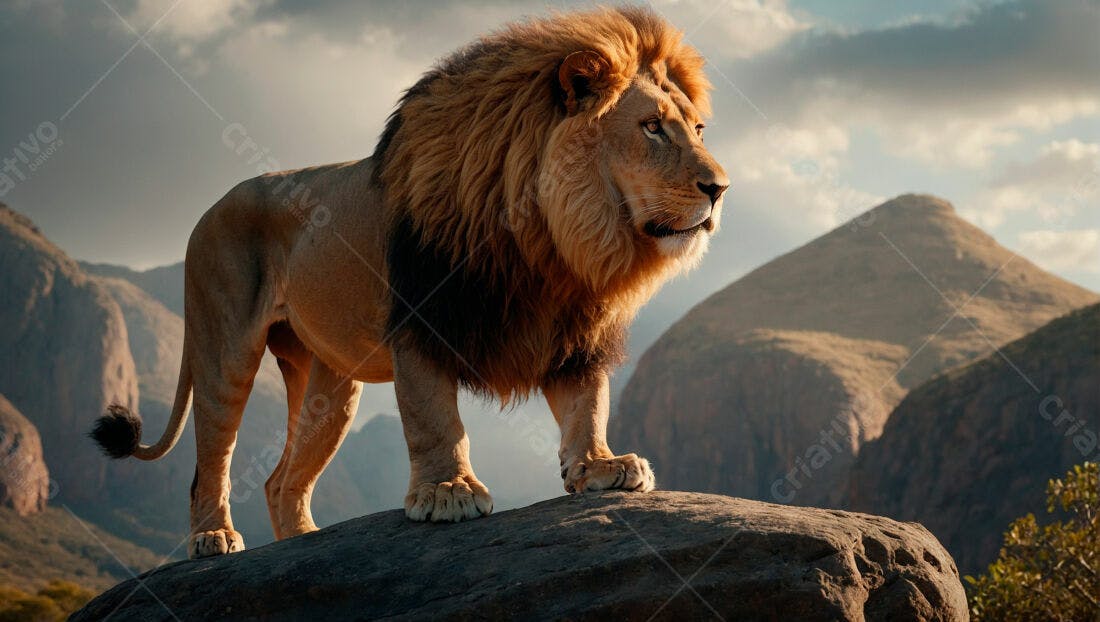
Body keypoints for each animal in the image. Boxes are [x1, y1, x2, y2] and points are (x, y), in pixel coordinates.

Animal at [90, 6, 728, 559]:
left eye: (698, 129)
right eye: (652, 128)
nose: (720, 188)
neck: (553, 242)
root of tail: (210, 206)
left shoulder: (575, 331)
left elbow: (587, 403)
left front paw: (600, 466)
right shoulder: (421, 321)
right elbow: (433, 418)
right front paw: (448, 492)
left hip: (330, 383)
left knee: (280, 480)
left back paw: (304, 544)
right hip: (224, 348)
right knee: (211, 460)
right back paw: (213, 538)